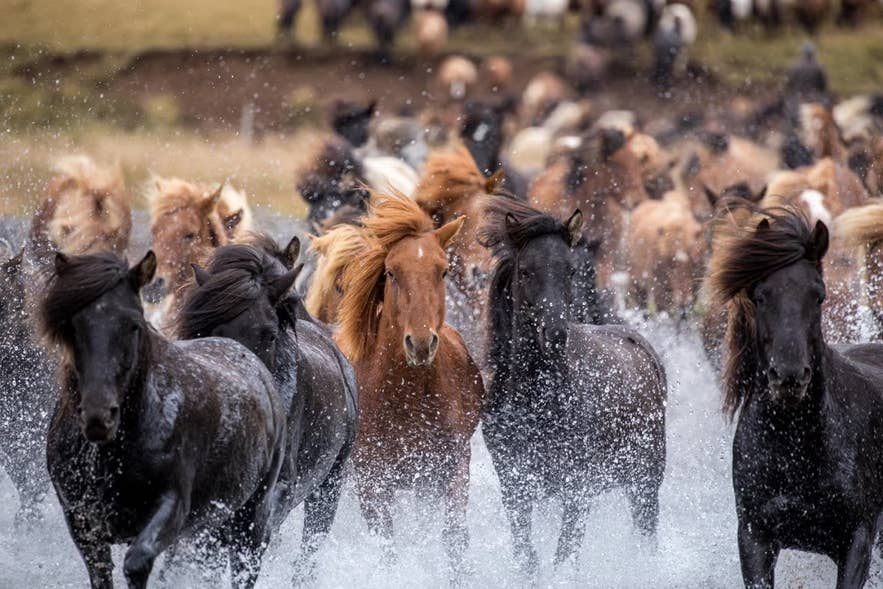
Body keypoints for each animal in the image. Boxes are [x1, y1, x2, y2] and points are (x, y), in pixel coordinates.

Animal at [41, 251, 285, 589]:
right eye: (71, 325)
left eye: (133, 324)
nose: (98, 416)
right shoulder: (82, 521)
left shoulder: (173, 507)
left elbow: (137, 562)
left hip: (251, 519)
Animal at [334, 191, 484, 577]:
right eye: (391, 272)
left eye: (443, 270)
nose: (419, 343)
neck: (407, 398)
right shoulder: (372, 482)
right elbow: (387, 547)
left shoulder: (450, 468)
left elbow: (453, 537)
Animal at [479, 196, 667, 575]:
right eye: (526, 271)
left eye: (571, 271)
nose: (555, 334)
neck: (538, 402)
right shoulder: (515, 488)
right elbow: (528, 557)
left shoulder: (577, 490)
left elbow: (563, 557)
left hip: (645, 482)